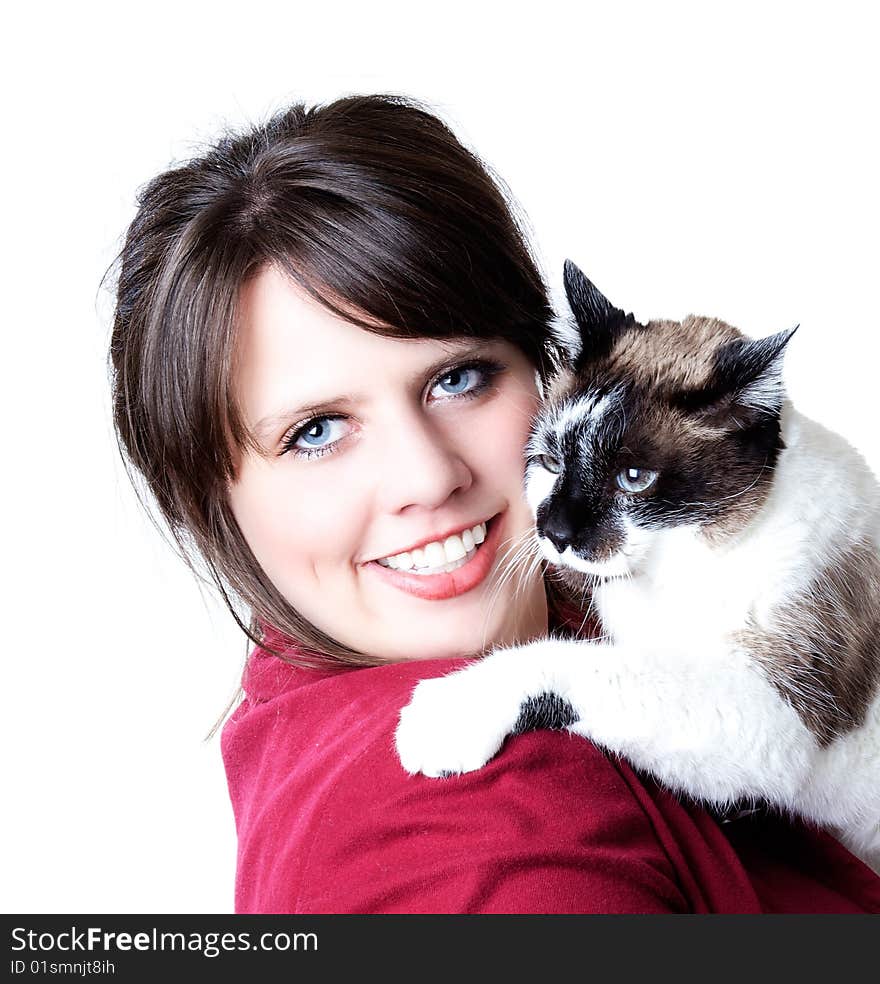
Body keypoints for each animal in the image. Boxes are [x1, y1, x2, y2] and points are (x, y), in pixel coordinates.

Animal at [394, 260, 880, 868]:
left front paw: (445, 712)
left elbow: (582, 662)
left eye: (634, 480)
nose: (555, 533)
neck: (678, 567)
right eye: (551, 462)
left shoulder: (774, 710)